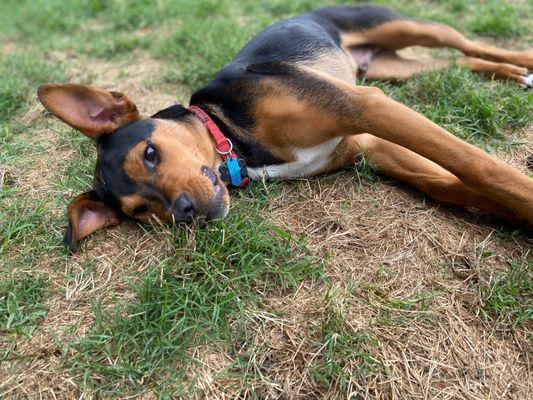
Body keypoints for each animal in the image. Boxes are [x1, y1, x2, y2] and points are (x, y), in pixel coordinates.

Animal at [37, 4, 532, 252]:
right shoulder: (370, 146)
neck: (234, 140)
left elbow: (481, 168)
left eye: (151, 153)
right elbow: (450, 184)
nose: (185, 212)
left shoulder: (367, 106)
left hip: (400, 28)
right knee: (460, 62)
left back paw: (524, 62)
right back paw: (515, 74)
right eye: (141, 211)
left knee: (466, 42)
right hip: (391, 69)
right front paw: (516, 219)